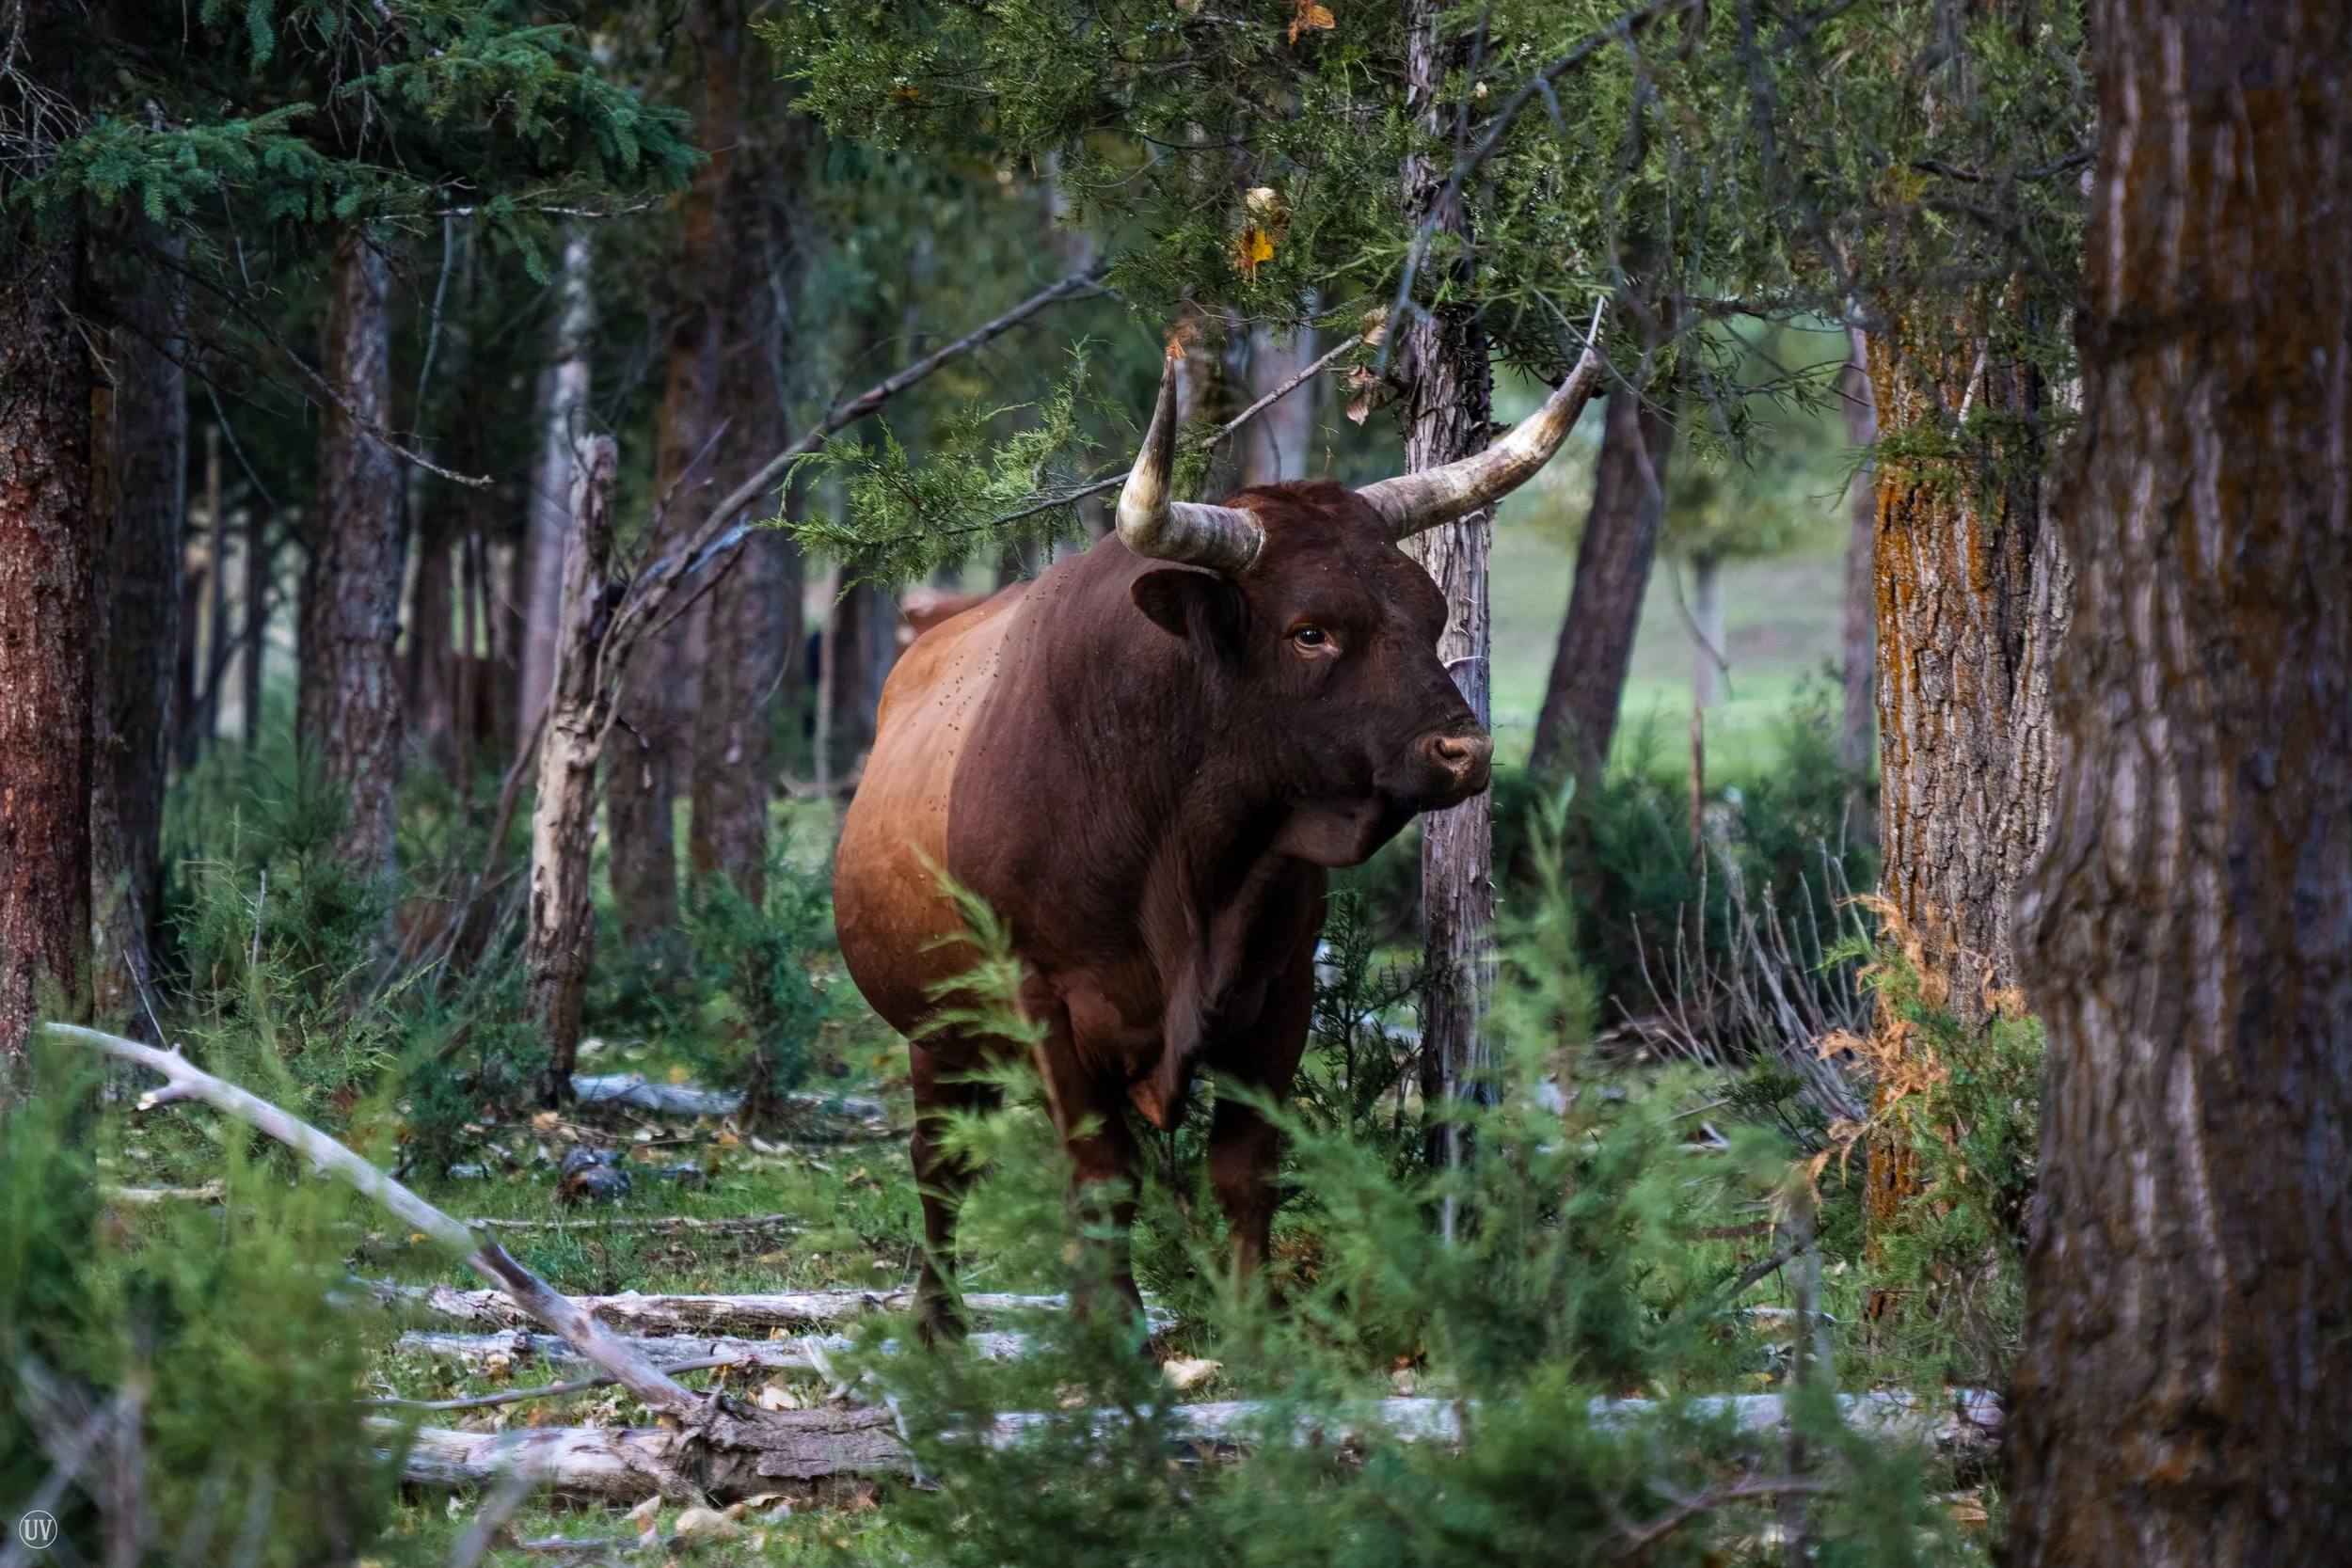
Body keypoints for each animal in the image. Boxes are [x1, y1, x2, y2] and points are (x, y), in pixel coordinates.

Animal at [834, 337, 1605, 1335]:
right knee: (940, 1167)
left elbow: (1245, 1168)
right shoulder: (1043, 997)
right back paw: (939, 1318)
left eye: (1433, 614)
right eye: (1310, 632)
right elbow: (1103, 1174)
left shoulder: (1280, 986)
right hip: (938, 1029)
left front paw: (1256, 1323)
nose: (1464, 751)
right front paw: (1117, 1331)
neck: (1183, 854)